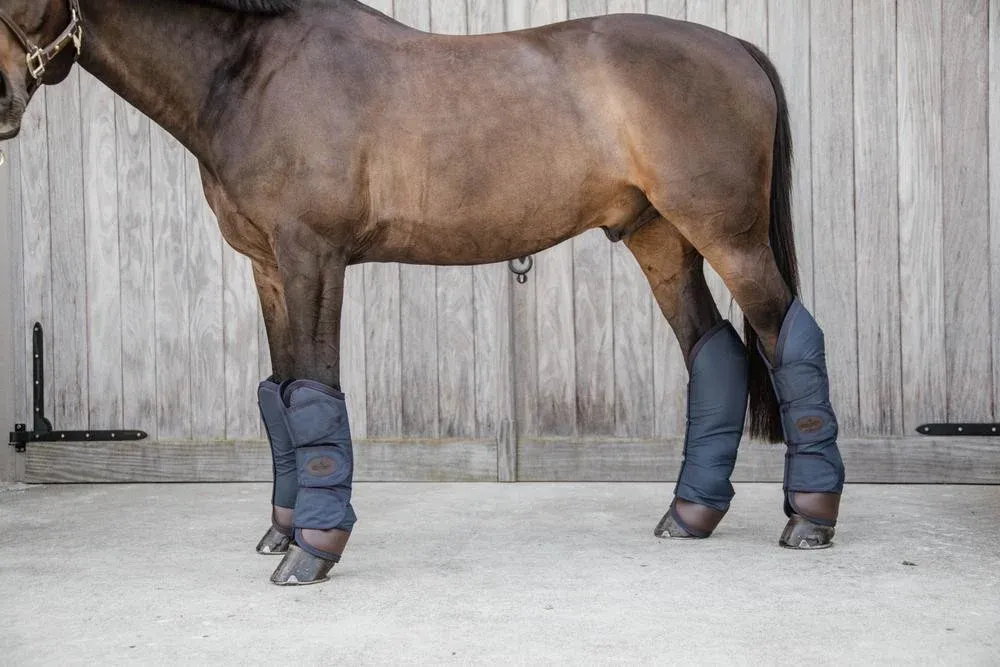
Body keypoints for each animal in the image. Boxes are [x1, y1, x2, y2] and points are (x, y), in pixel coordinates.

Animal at [0, 0, 846, 585]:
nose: (2, 104)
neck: (252, 73)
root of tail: (736, 48)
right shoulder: (267, 267)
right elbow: (282, 394)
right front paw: (284, 529)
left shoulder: (314, 259)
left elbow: (316, 390)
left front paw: (312, 549)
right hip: (660, 239)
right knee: (715, 351)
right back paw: (688, 514)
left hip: (729, 237)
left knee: (786, 337)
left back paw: (809, 520)